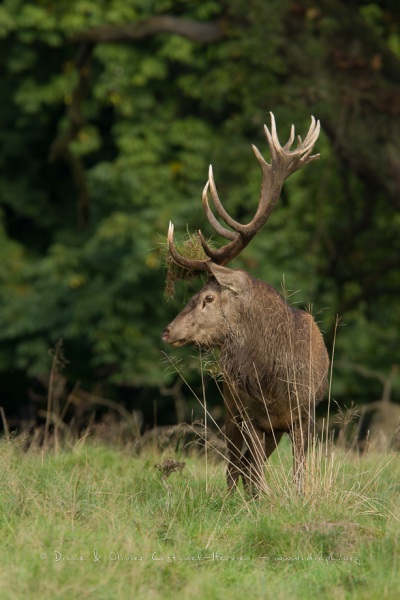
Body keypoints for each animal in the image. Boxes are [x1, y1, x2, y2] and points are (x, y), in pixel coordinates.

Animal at [161, 113, 330, 496]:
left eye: (208, 298)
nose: (167, 331)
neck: (274, 380)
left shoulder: (306, 414)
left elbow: (298, 474)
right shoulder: (249, 412)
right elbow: (254, 473)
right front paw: (260, 500)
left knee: (246, 464)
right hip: (231, 409)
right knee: (235, 465)